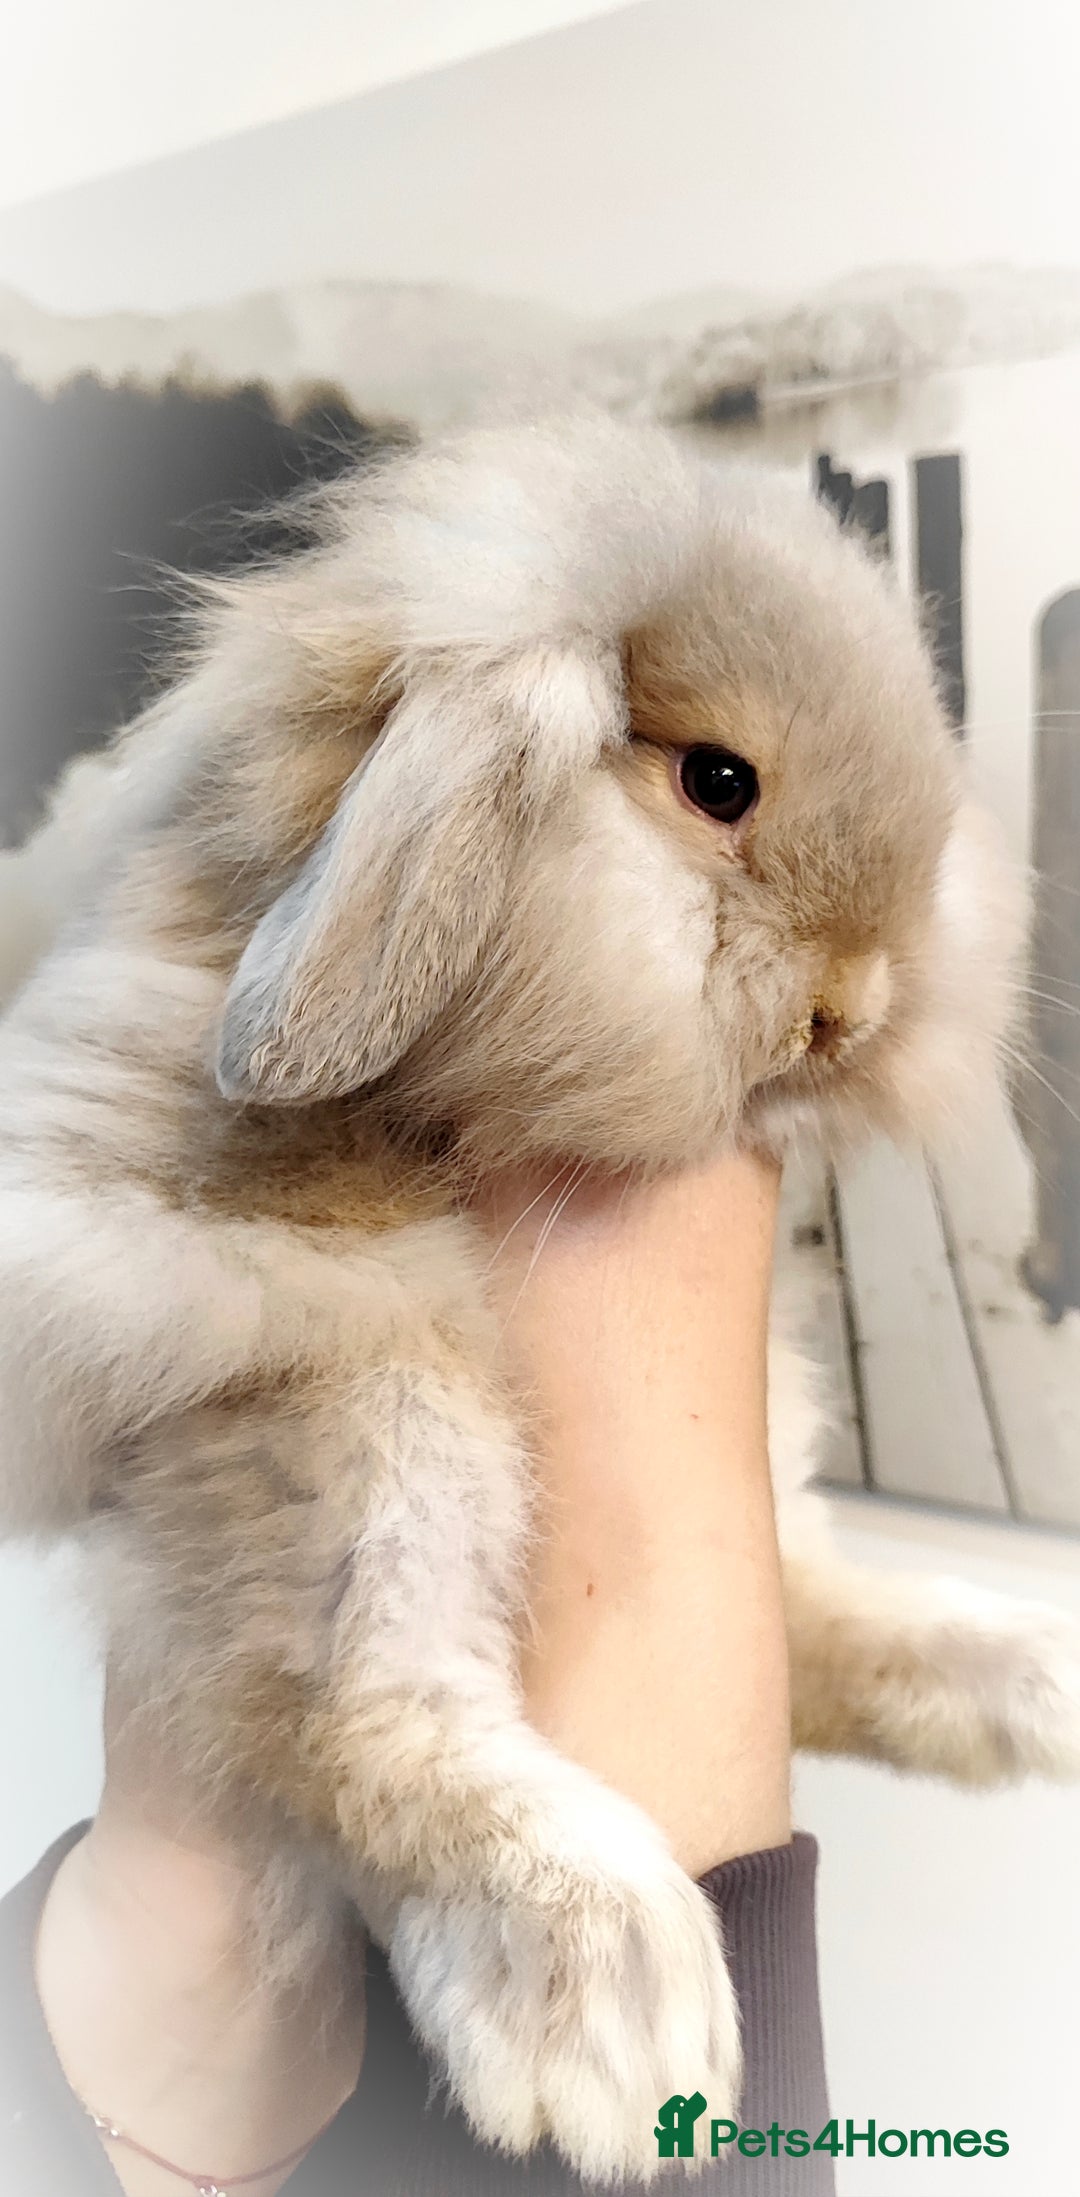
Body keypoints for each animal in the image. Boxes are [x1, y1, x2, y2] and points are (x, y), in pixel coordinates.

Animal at [1, 413, 1078, 2185]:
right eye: (718, 782)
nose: (852, 1008)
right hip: (377, 1407)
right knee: (356, 1719)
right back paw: (607, 2006)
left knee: (815, 1608)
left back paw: (1031, 1677)